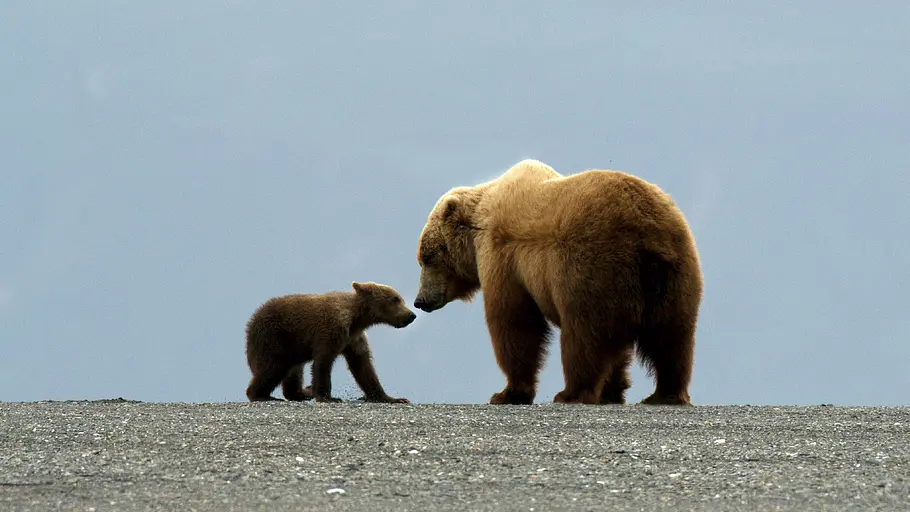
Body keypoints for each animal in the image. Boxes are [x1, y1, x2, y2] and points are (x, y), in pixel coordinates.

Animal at [245, 281, 416, 404]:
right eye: (395, 299)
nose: (411, 315)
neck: (356, 320)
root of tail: (251, 322)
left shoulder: (354, 339)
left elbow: (363, 367)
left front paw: (393, 398)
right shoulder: (331, 330)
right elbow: (323, 362)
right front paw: (328, 397)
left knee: (294, 371)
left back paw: (302, 393)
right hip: (274, 338)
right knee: (273, 367)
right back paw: (261, 395)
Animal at [413, 159, 703, 406]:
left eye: (427, 257)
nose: (420, 300)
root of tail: (647, 236)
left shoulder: (504, 257)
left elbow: (515, 323)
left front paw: (508, 393)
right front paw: (613, 389)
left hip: (592, 268)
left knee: (584, 337)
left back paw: (570, 393)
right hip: (675, 274)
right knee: (673, 338)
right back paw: (665, 394)